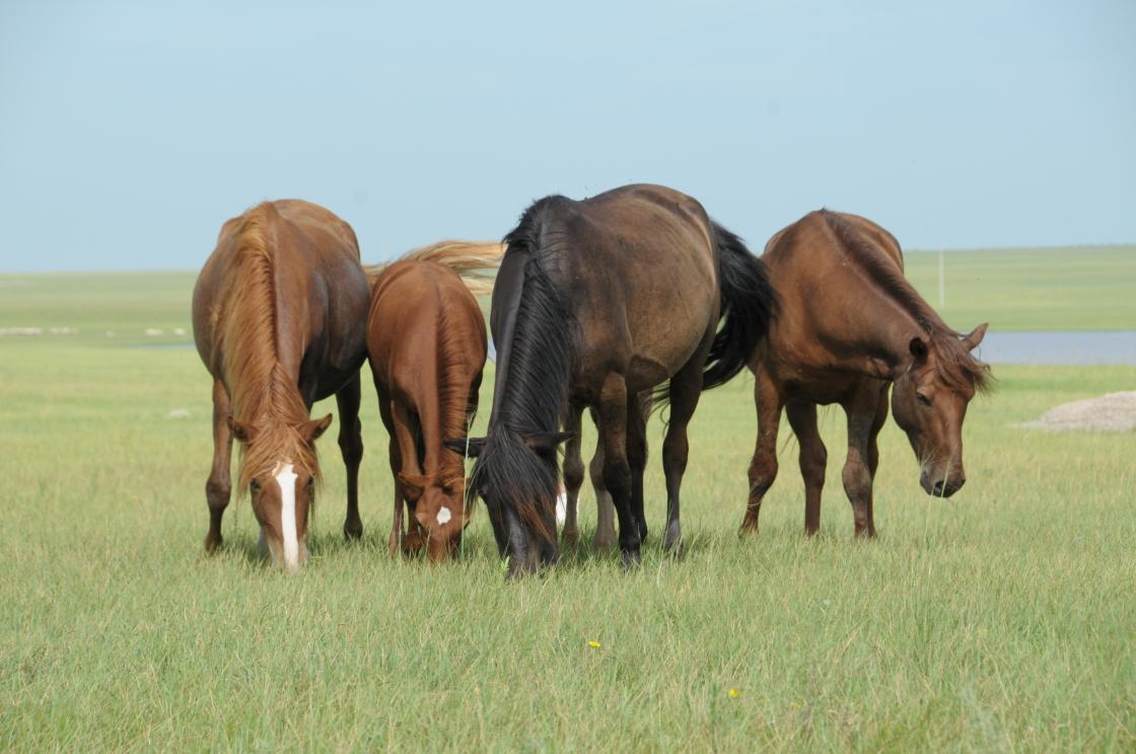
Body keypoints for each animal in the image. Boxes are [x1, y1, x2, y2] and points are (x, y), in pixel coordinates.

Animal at [193, 199, 370, 572]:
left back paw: (352, 530)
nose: (290, 561)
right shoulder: (222, 387)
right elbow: (219, 482)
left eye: (309, 481)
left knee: (351, 446)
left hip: (351, 379)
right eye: (256, 484)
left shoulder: (306, 381)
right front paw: (213, 546)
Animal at [363, 239, 506, 558]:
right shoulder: (400, 407)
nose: (439, 562)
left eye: (462, 527)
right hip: (383, 397)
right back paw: (396, 541)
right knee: (397, 461)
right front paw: (409, 542)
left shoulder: (469, 403)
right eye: (422, 522)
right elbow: (407, 470)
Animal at [447, 182, 777, 576]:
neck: (559, 278)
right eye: (487, 496)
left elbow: (616, 470)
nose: (521, 568)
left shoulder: (610, 387)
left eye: (538, 493)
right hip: (636, 383)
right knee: (639, 452)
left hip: (688, 370)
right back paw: (641, 527)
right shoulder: (567, 393)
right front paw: (575, 545)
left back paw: (671, 540)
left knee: (673, 452)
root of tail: (701, 221)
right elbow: (575, 467)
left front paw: (629, 551)